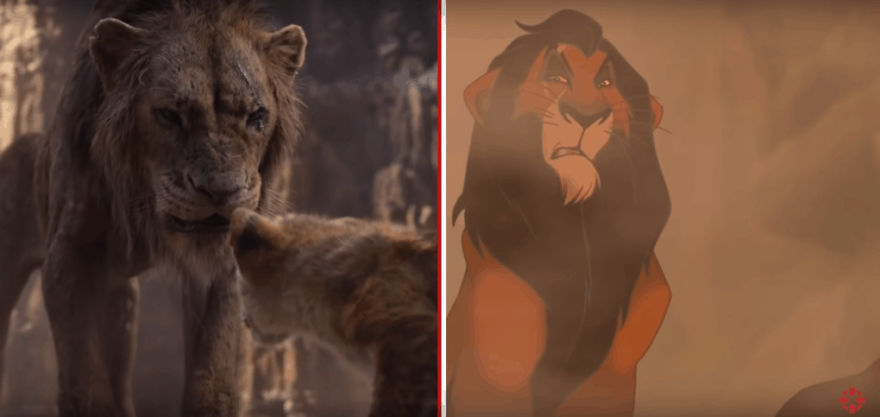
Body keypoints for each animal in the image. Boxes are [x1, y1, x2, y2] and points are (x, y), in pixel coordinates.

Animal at [0, 1, 306, 415]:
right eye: (169, 115)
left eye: (256, 116)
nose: (221, 191)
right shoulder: (69, 252)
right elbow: (84, 372)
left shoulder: (220, 267)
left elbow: (213, 372)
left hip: (120, 297)